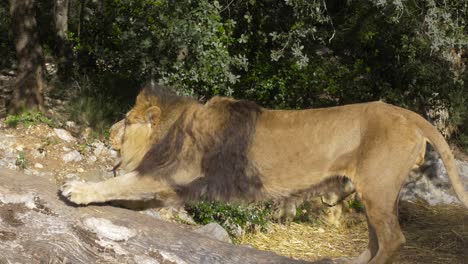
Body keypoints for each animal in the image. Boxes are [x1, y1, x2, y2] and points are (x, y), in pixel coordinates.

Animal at [61, 84, 468, 264]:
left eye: (126, 120)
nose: (108, 131)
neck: (175, 127)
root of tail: (411, 115)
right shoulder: (177, 186)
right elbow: (133, 195)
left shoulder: (174, 172)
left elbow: (122, 180)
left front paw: (77, 189)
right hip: (375, 191)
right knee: (376, 238)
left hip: (378, 187)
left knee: (394, 239)